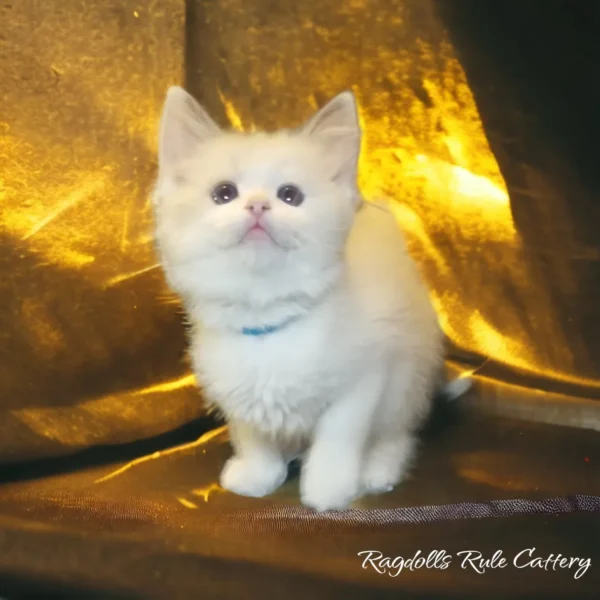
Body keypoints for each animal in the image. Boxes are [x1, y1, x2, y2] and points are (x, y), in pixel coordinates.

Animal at [155, 88, 460, 510]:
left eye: (290, 195)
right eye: (224, 193)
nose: (257, 205)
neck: (267, 321)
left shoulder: (362, 380)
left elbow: (338, 440)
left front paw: (329, 491)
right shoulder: (235, 389)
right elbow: (252, 437)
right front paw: (257, 476)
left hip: (407, 377)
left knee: (396, 434)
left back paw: (379, 470)